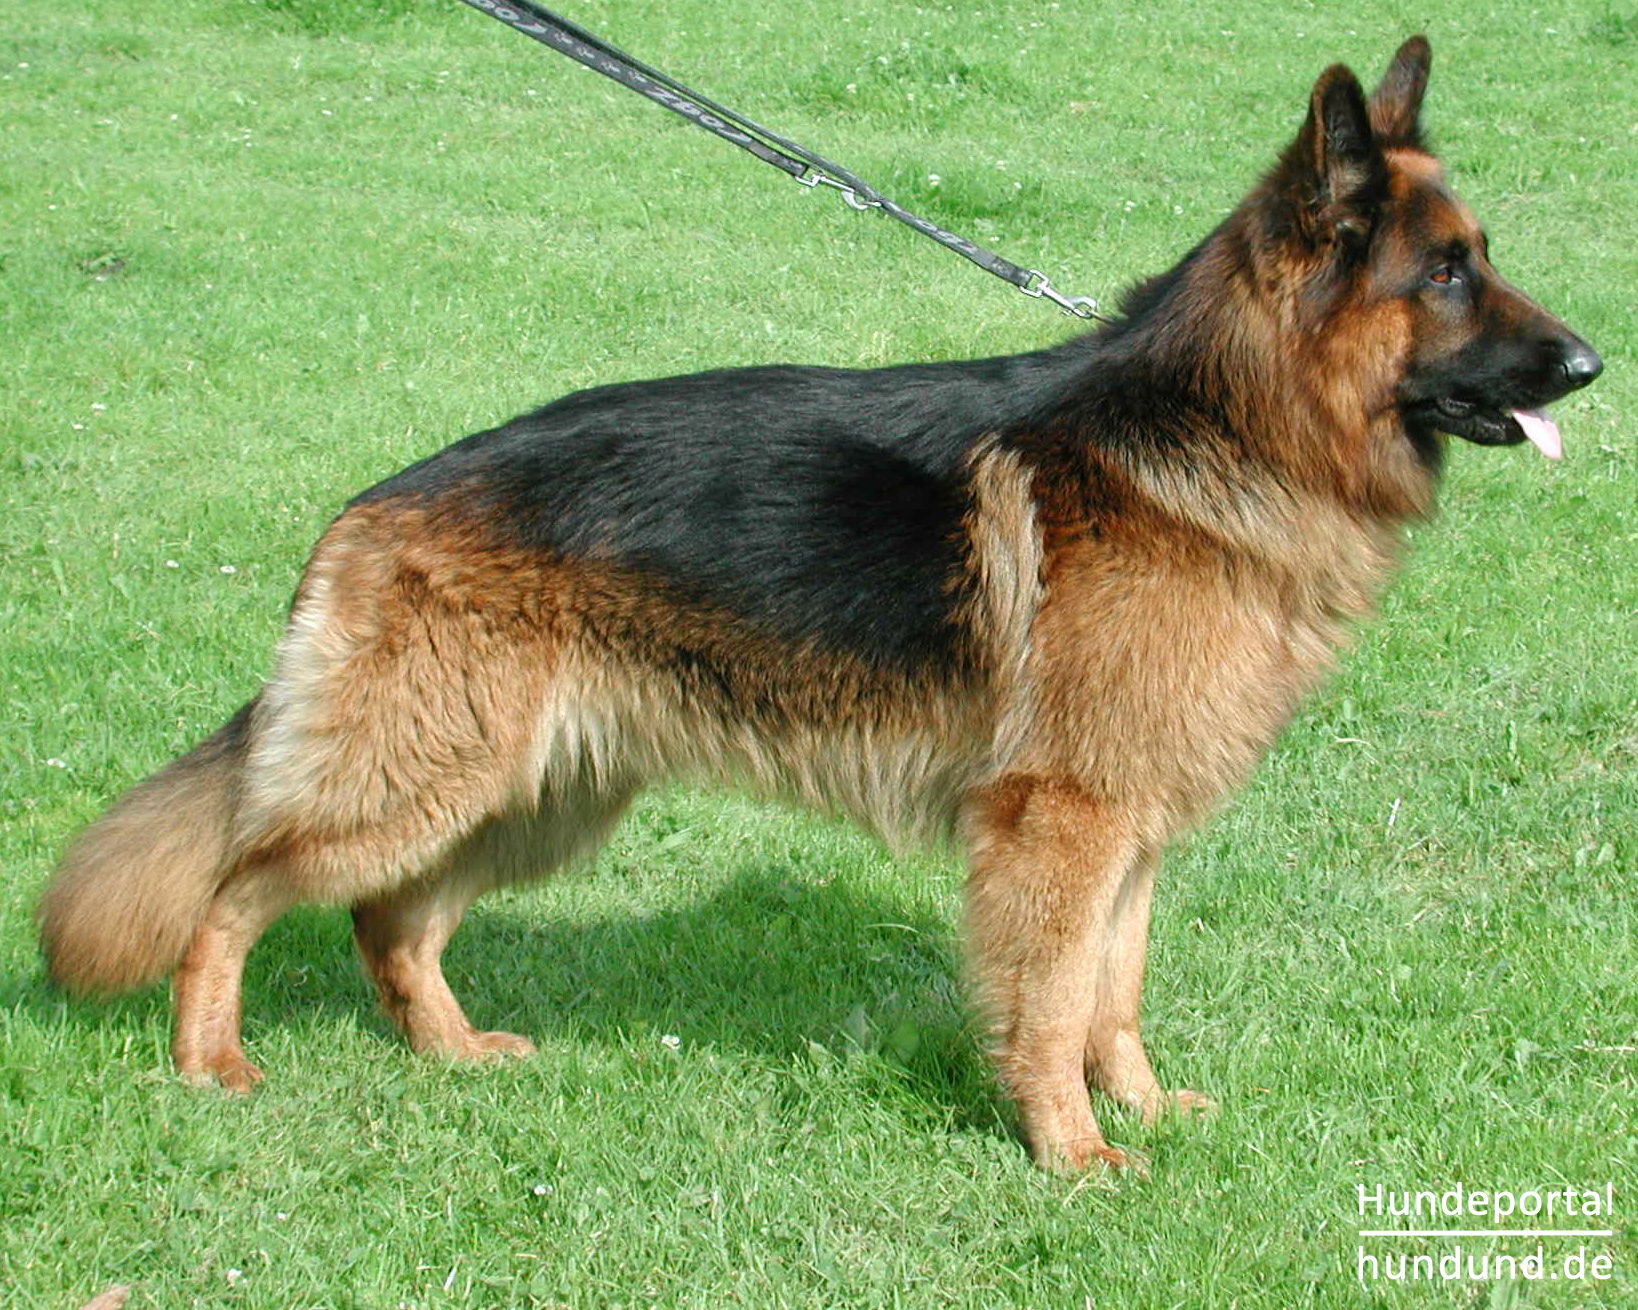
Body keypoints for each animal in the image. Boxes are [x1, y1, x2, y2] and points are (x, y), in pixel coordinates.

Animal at [38, 40, 1598, 1172]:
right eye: (1445, 273)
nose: (1589, 363)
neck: (1226, 427)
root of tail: (371, 504)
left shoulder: (1130, 828)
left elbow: (1114, 994)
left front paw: (1139, 1112)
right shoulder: (1062, 825)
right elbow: (1049, 1003)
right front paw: (1071, 1153)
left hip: (528, 790)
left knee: (389, 921)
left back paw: (451, 1052)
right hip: (427, 774)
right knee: (234, 892)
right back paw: (209, 1061)